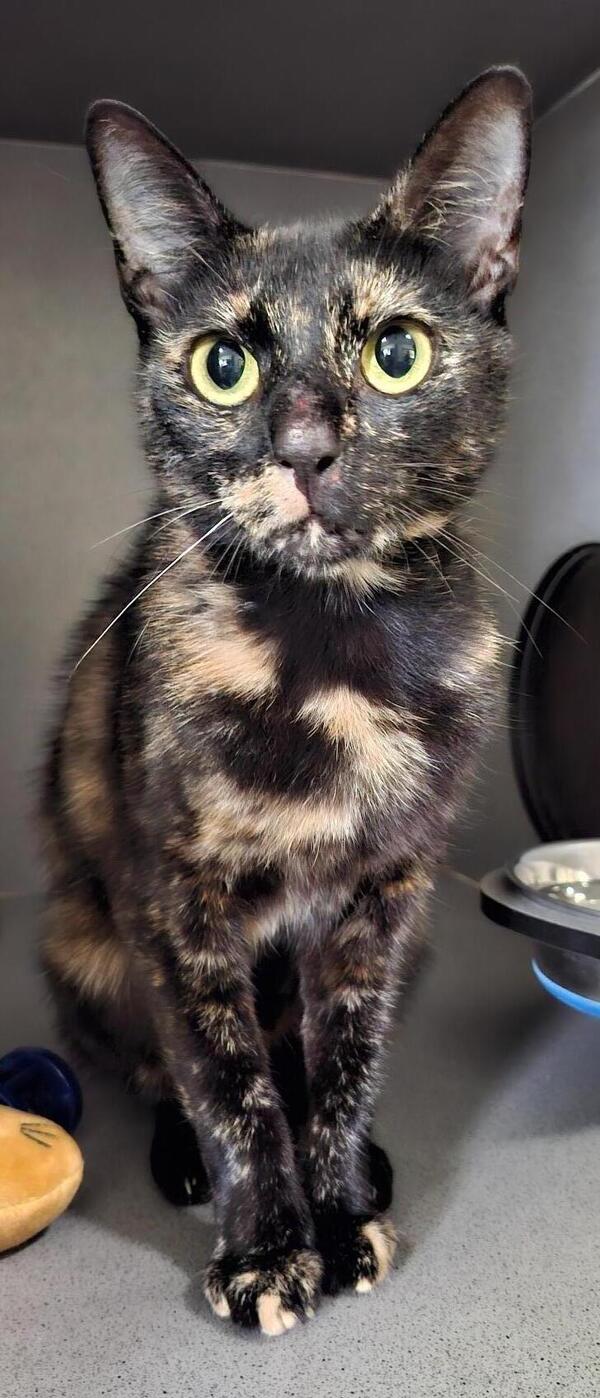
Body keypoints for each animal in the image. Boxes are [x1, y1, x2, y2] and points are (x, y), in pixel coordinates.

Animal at [40, 67, 531, 1335]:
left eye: (397, 353)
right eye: (225, 365)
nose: (306, 446)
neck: (331, 647)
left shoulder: (386, 894)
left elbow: (343, 1063)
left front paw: (343, 1208)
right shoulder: (176, 896)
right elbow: (229, 1082)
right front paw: (267, 1248)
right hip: (87, 943)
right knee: (164, 1067)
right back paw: (181, 1164)